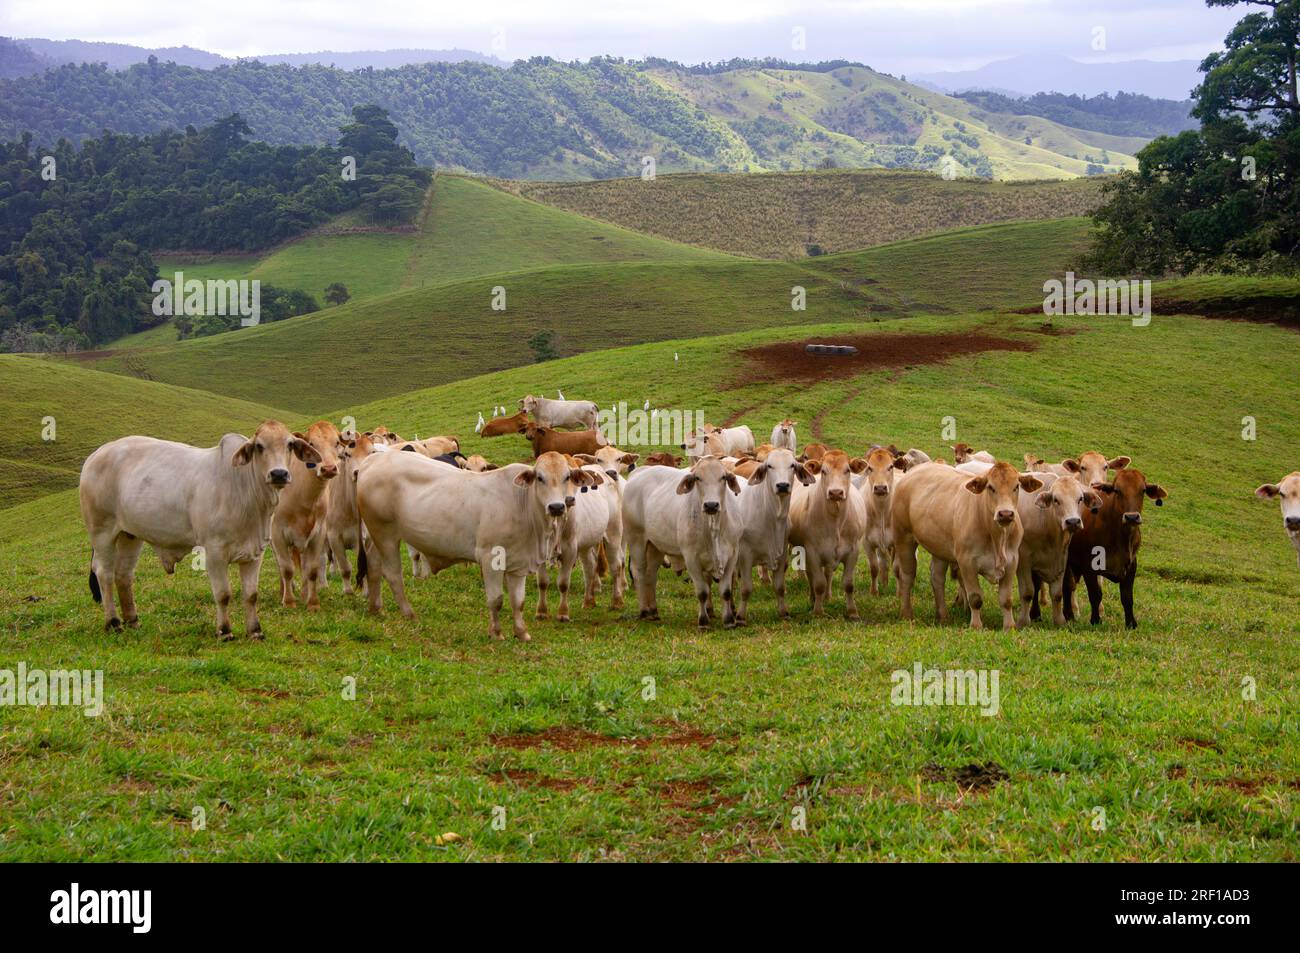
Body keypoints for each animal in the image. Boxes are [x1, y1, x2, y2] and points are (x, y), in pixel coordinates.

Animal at [626, 452, 748, 624]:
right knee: (639, 574)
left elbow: (726, 591)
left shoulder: (732, 555)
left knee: (651, 575)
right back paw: (644, 611)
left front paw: (729, 620)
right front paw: (703, 620)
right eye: (697, 478)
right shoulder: (691, 558)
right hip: (635, 539)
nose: (711, 505)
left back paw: (653, 611)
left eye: (723, 477)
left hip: (655, 546)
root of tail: (639, 472)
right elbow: (702, 592)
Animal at [889, 460, 1040, 629]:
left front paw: (1009, 626)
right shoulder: (967, 562)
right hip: (904, 538)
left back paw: (943, 616)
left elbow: (1006, 599)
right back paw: (907, 613)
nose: (1005, 514)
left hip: (939, 548)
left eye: (1016, 486)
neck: (996, 537)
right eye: (990, 487)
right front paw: (976, 625)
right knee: (907, 575)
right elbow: (975, 598)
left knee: (937, 578)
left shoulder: (1011, 562)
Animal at [1066, 465, 1170, 629]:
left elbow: (1127, 597)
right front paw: (1096, 620)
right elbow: (1095, 594)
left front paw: (1131, 623)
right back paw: (1068, 615)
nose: (1132, 517)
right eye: (1117, 490)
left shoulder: (1131, 565)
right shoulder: (1089, 565)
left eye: (1143, 490)